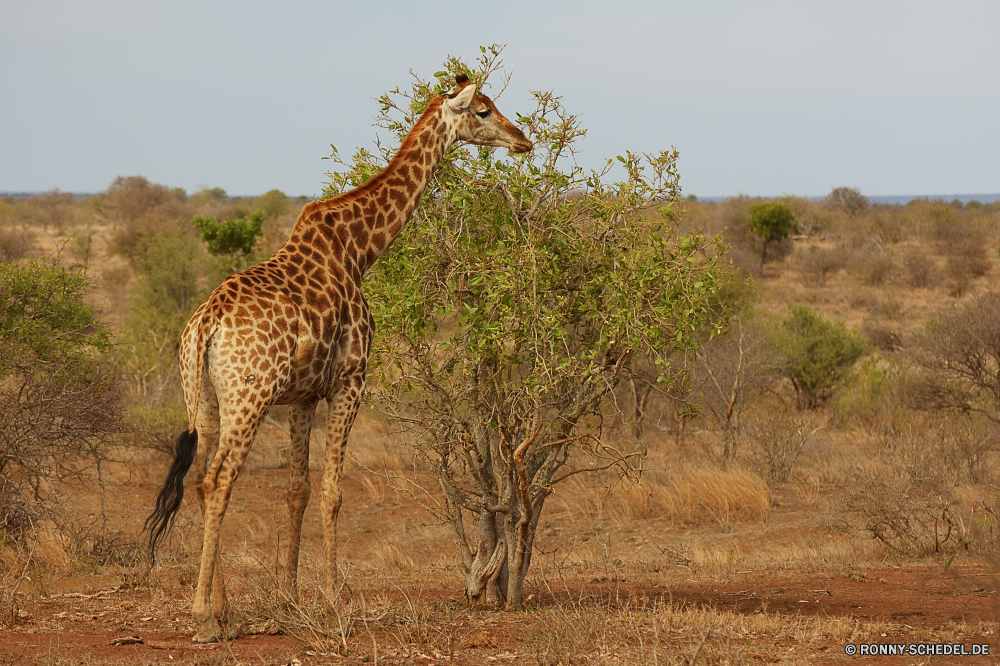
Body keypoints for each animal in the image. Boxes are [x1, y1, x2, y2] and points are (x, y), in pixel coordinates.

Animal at [145, 75, 532, 640]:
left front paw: (289, 597)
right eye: (483, 111)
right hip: (249, 398)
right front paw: (332, 600)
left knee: (199, 480)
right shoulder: (351, 380)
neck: (359, 249)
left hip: (205, 399)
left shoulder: (303, 397)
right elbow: (332, 492)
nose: (523, 140)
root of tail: (205, 325)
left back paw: (223, 607)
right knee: (218, 481)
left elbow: (297, 490)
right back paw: (204, 617)